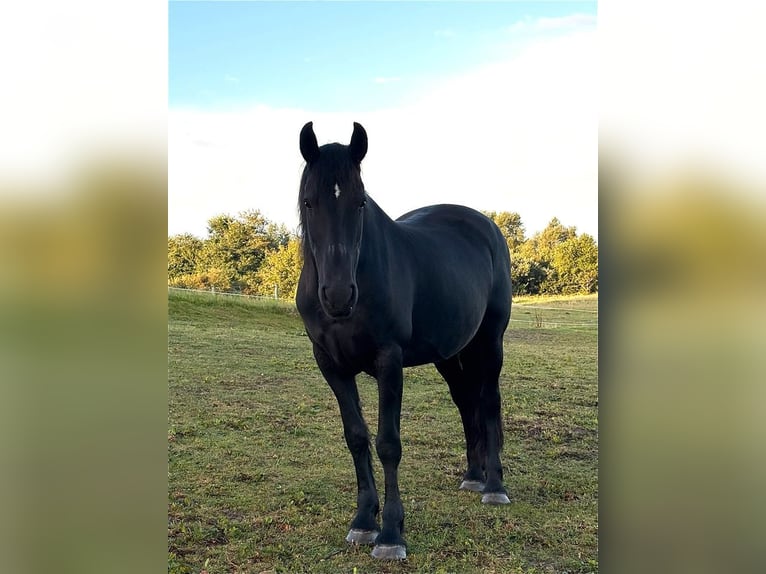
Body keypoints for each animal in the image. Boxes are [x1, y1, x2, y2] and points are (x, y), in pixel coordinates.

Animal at [295, 121, 512, 560]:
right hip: (450, 354)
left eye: (360, 202)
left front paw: (391, 534)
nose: (338, 296)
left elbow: (388, 444)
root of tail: (488, 228)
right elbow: (357, 438)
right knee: (467, 403)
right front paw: (364, 521)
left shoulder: (388, 361)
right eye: (309, 202)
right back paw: (473, 476)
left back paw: (494, 486)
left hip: (490, 343)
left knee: (489, 403)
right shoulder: (330, 365)